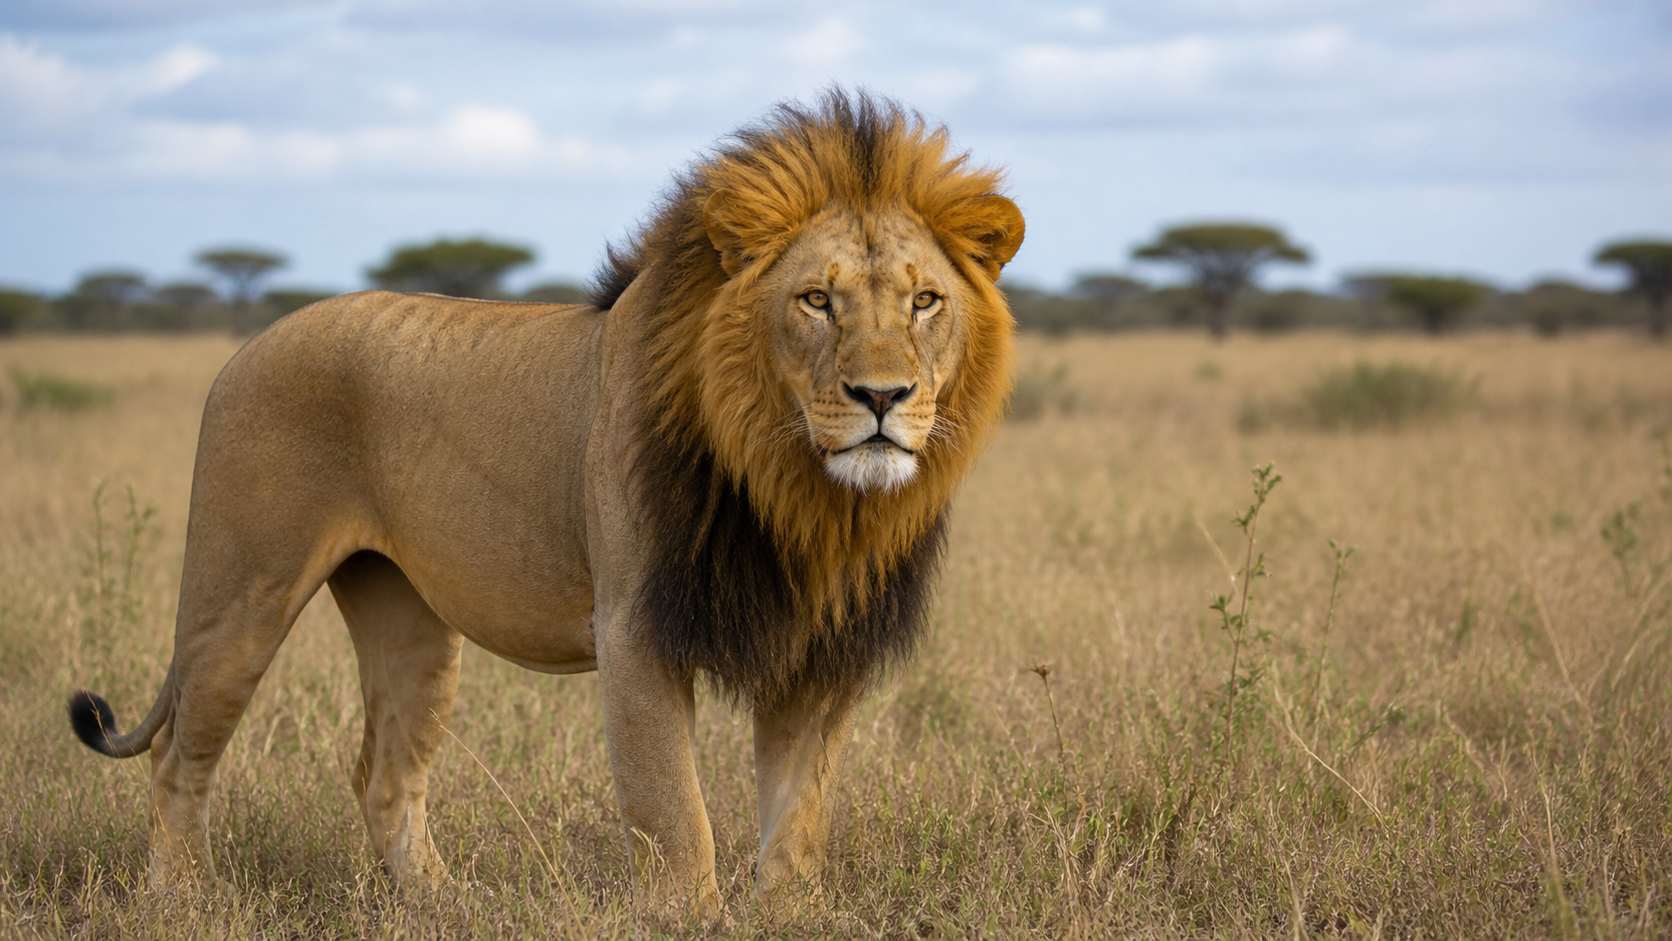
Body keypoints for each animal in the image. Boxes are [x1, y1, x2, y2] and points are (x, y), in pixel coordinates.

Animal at [66, 91, 1023, 913]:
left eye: (925, 301)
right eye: (817, 300)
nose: (882, 397)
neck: (800, 494)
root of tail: (248, 343)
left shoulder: (818, 645)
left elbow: (797, 820)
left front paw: (787, 914)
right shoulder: (634, 627)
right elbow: (675, 813)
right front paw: (688, 917)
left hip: (409, 621)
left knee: (384, 774)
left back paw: (443, 903)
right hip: (243, 592)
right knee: (179, 754)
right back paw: (182, 898)